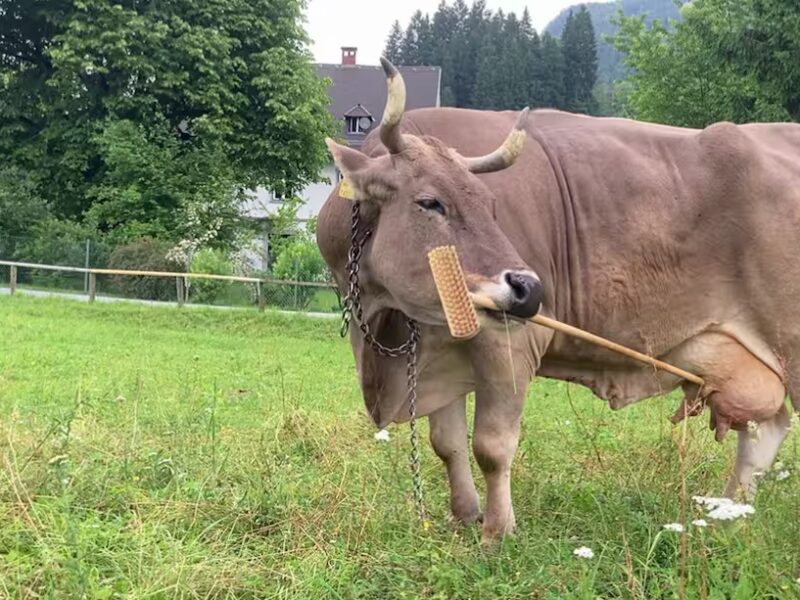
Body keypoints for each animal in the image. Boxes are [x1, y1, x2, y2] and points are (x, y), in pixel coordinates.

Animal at [316, 58, 800, 542]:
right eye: (430, 201)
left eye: (491, 203)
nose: (529, 288)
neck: (385, 323)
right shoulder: (440, 351)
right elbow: (447, 444)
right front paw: (465, 517)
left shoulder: (509, 345)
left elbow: (491, 447)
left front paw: (497, 531)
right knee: (764, 432)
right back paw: (730, 515)